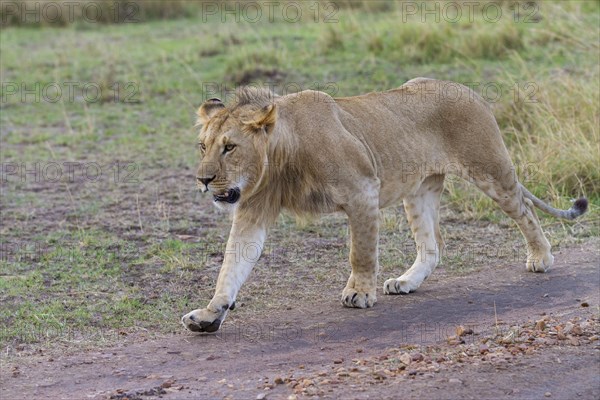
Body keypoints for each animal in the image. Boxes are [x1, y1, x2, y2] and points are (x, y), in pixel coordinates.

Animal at [182, 79, 584, 334]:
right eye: (203, 146)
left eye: (230, 147)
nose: (203, 180)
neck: (282, 158)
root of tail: (468, 90)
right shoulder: (253, 211)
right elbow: (231, 268)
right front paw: (210, 314)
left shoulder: (363, 191)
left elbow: (360, 253)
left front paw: (359, 293)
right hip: (418, 190)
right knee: (432, 246)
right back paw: (406, 281)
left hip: (490, 170)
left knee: (524, 209)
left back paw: (541, 258)